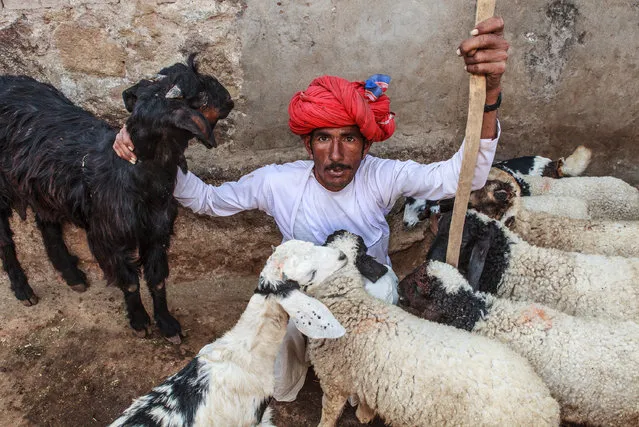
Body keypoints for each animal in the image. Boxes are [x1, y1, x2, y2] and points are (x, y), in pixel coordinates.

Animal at [0, 54, 234, 342]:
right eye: (200, 93)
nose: (229, 99)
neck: (136, 176)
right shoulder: (111, 238)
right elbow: (131, 283)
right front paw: (140, 321)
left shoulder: (157, 232)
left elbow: (157, 280)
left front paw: (167, 324)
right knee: (6, 240)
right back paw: (23, 289)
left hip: (43, 185)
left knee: (47, 223)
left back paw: (72, 275)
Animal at [304, 231, 560, 427]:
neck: (351, 305)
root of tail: (548, 408)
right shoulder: (365, 377)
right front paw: (365, 414)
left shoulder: (334, 379)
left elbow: (329, 413)